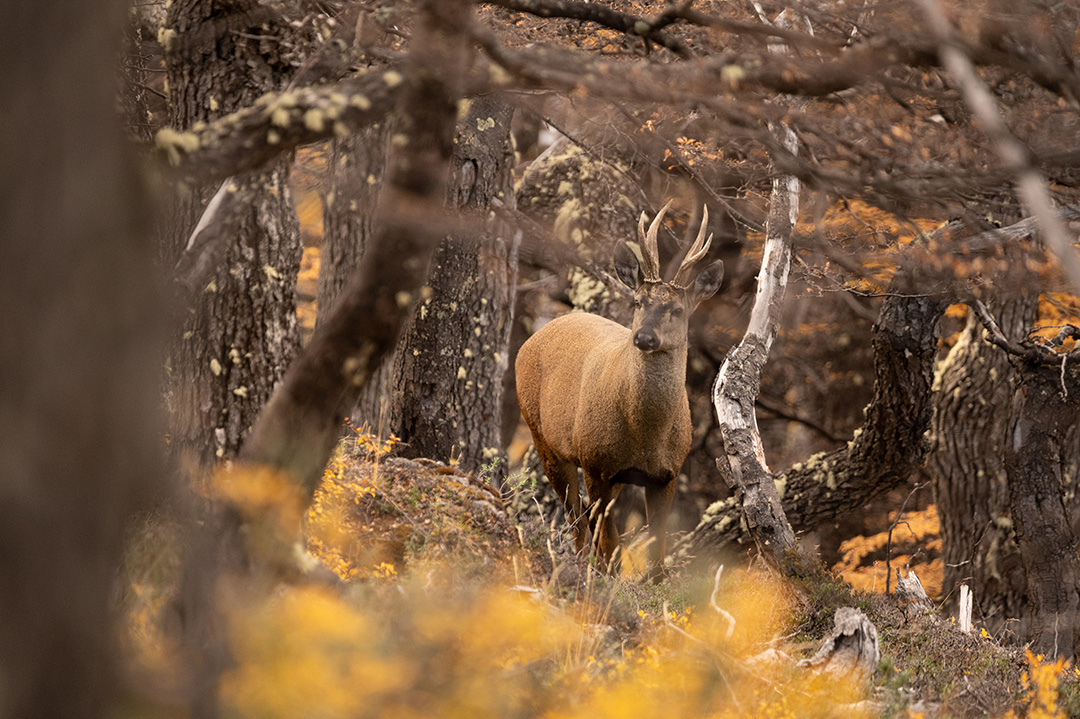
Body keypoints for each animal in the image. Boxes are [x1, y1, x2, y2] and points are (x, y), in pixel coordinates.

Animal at [516, 199, 725, 578]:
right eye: (638, 301)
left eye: (677, 310)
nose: (644, 337)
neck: (645, 436)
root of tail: (534, 337)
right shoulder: (596, 461)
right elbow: (610, 542)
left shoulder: (667, 473)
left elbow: (656, 554)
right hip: (545, 439)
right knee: (577, 519)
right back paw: (582, 568)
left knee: (586, 518)